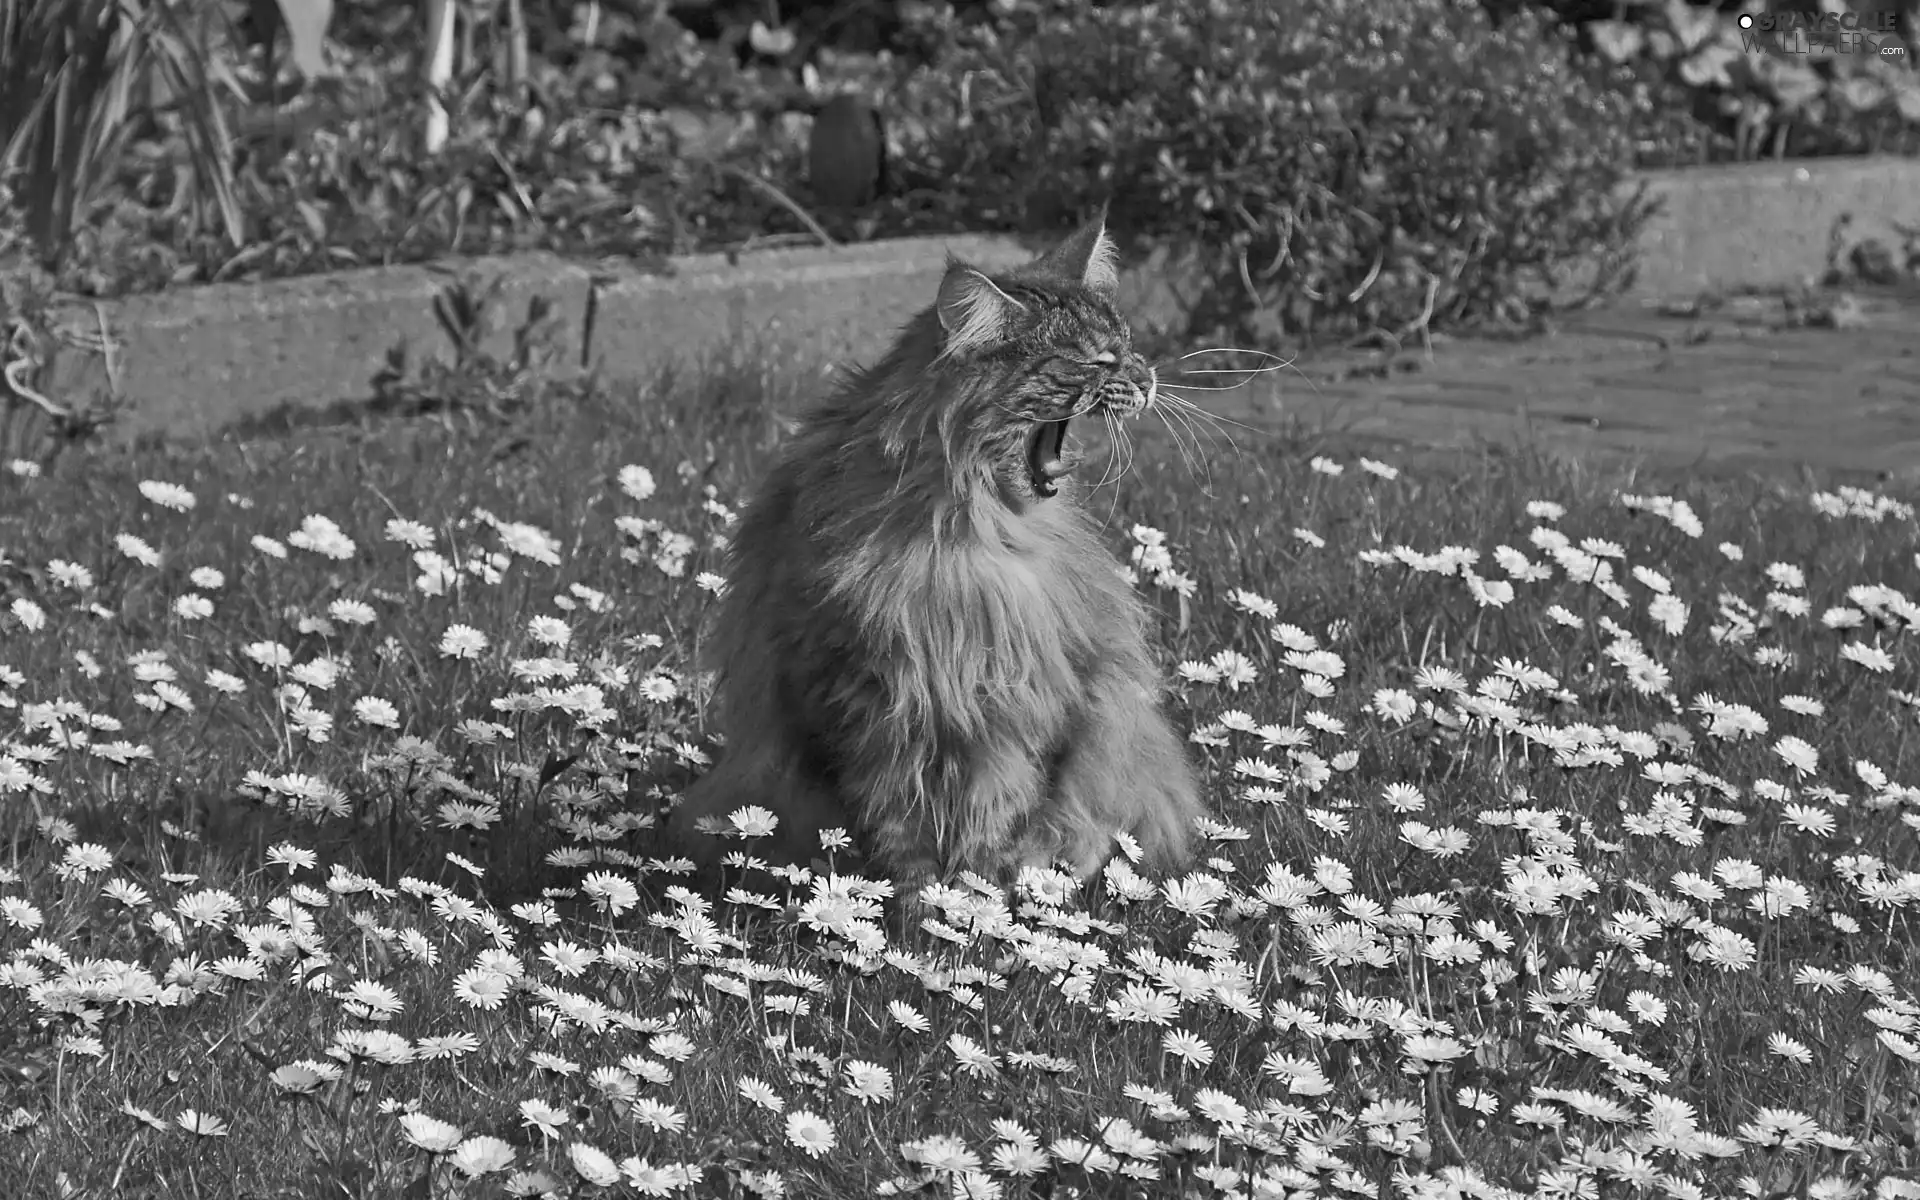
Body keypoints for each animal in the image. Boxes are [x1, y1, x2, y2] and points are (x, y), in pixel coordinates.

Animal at [664, 215, 1198, 883]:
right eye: (1099, 360)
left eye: (1130, 344)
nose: (1149, 377)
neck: (957, 540)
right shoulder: (864, 692)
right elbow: (894, 823)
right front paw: (914, 899)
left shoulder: (1020, 696)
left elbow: (1003, 813)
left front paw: (978, 896)